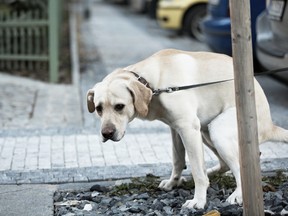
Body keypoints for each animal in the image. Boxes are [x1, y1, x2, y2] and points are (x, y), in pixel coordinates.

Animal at [86, 49, 288, 209]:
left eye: (119, 106)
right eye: (98, 108)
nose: (106, 134)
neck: (152, 82)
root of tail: (270, 125)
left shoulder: (187, 128)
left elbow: (197, 172)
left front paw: (198, 200)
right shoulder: (176, 129)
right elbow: (177, 160)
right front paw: (173, 182)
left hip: (218, 130)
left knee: (240, 168)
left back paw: (237, 194)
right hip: (205, 132)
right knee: (227, 164)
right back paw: (210, 173)